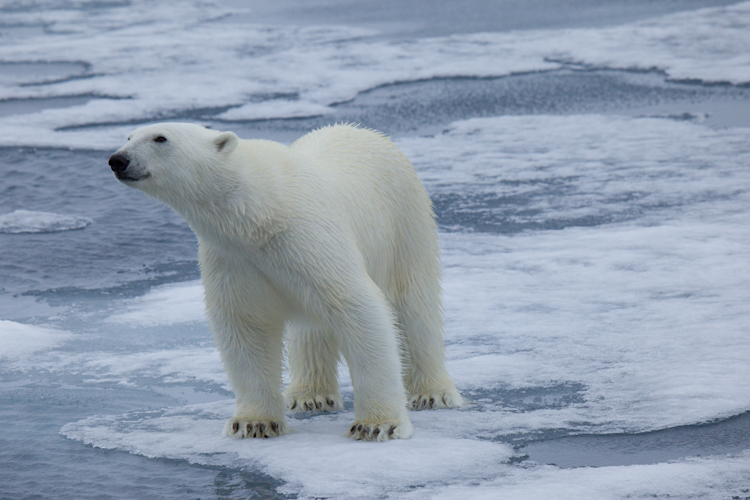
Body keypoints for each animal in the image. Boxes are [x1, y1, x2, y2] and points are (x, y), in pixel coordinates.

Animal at [109, 122, 463, 441]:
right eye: (128, 136)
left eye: (160, 138)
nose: (117, 160)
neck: (259, 213)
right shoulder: (232, 258)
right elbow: (245, 326)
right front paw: (254, 422)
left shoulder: (308, 237)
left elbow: (359, 308)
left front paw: (376, 425)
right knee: (312, 330)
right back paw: (310, 395)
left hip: (405, 221)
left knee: (415, 304)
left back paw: (433, 392)